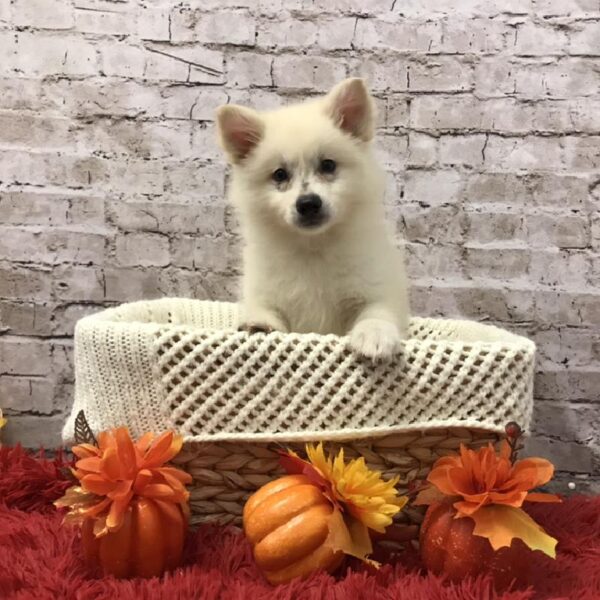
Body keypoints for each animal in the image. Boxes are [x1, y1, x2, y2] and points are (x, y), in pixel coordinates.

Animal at [216, 77, 408, 358]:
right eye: (280, 175)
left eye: (328, 165)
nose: (308, 204)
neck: (313, 247)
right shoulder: (264, 292)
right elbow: (265, 310)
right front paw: (259, 325)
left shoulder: (375, 287)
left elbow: (376, 311)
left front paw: (374, 334)